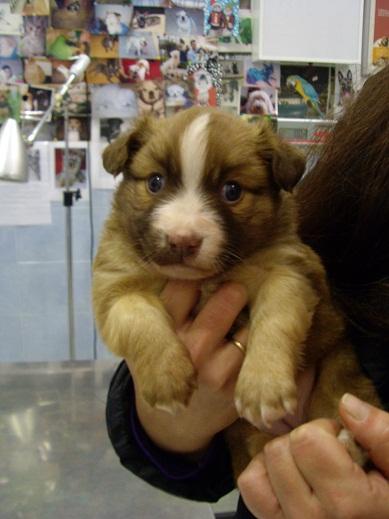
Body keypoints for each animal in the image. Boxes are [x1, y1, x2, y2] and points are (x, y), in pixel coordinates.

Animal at [93, 108, 378, 480]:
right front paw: (166, 376)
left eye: (232, 191)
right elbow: (137, 318)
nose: (182, 241)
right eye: (155, 182)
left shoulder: (286, 273)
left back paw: (348, 443)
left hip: (340, 368)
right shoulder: (114, 286)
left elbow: (275, 322)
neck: (205, 280)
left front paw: (263, 386)